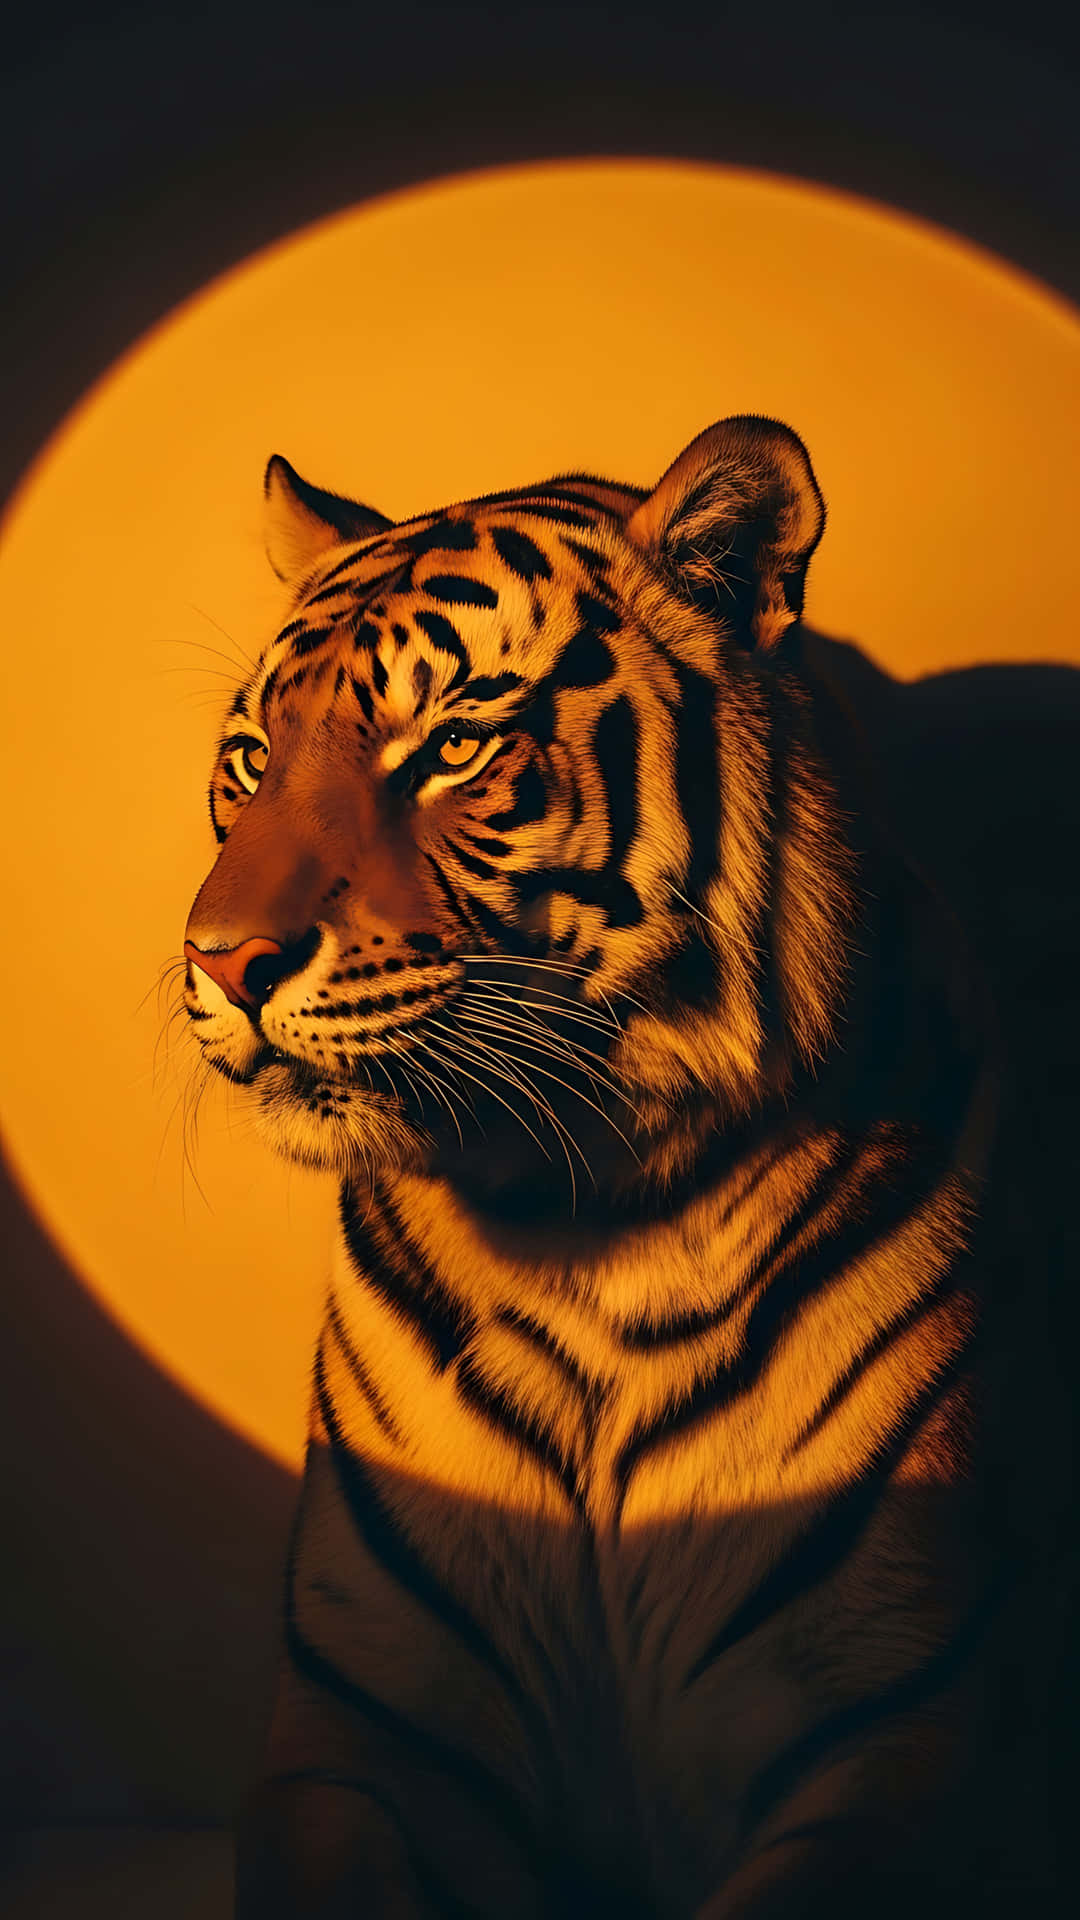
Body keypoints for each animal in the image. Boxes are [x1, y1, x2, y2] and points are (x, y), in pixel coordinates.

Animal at [180, 416, 1059, 1917]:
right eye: (249, 756)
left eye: (455, 745)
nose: (224, 962)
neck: (583, 1222)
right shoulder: (353, 1741)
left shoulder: (899, 1737)